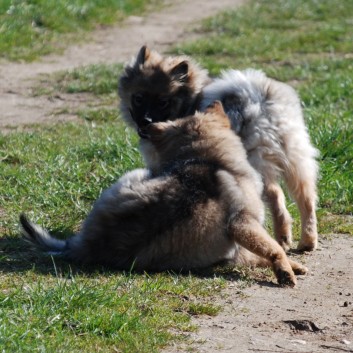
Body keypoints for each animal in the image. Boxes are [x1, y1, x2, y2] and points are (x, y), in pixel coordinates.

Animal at [20, 102, 306, 286]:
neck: (207, 157)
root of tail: (87, 245)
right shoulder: (242, 223)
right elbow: (270, 248)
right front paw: (287, 268)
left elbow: (256, 253)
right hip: (138, 171)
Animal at [118, 45, 320, 252]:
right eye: (138, 98)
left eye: (163, 102)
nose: (146, 120)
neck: (188, 102)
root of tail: (260, 101)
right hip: (296, 156)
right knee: (307, 199)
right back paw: (307, 241)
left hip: (255, 160)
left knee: (275, 195)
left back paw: (282, 238)